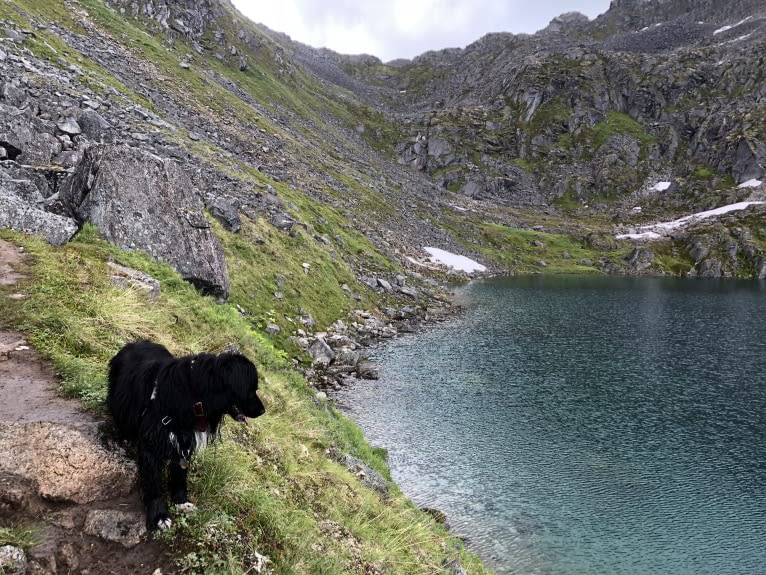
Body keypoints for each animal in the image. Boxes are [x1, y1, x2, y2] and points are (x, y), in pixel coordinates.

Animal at [106, 342, 266, 532]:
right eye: (251, 389)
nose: (263, 411)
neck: (195, 396)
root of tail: (135, 342)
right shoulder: (153, 441)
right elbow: (153, 481)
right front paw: (159, 515)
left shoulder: (184, 440)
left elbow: (180, 473)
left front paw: (181, 502)